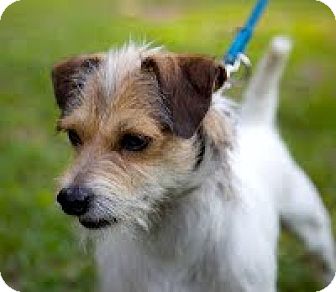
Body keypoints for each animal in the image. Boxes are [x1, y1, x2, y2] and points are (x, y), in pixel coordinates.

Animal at [51, 37, 334, 292]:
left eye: (134, 141)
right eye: (73, 136)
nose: (70, 199)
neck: (168, 236)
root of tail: (258, 124)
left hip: (313, 229)